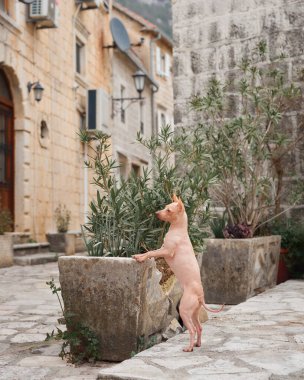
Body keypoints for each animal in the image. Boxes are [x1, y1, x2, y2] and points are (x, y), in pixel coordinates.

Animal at [132, 194, 223, 352]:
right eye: (165, 207)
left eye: (168, 210)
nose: (156, 213)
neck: (178, 230)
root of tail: (200, 295)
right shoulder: (162, 249)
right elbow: (150, 251)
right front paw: (139, 255)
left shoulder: (165, 251)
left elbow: (150, 252)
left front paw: (141, 257)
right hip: (194, 312)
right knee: (199, 328)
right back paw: (197, 344)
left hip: (185, 311)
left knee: (192, 329)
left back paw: (189, 347)